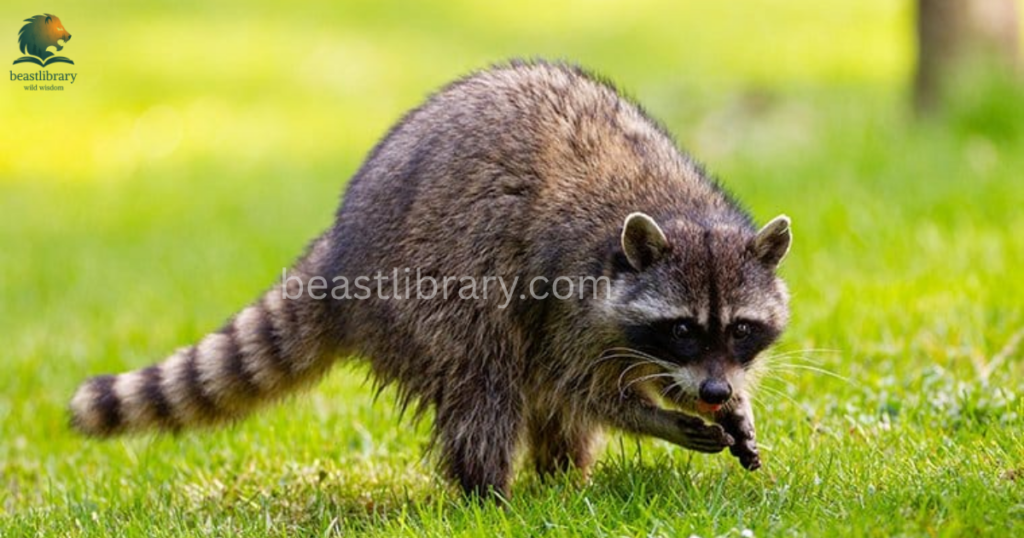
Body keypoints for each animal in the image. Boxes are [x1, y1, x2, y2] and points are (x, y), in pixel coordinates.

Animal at [70, 60, 792, 498]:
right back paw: (490, 494)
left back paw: (564, 478)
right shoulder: (568, 293)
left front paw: (728, 405)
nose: (714, 389)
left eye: (741, 329)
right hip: (423, 292)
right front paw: (655, 417)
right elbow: (579, 384)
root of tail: (339, 248)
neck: (678, 208)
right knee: (486, 380)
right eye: (681, 328)